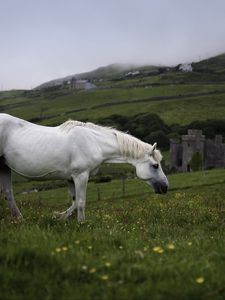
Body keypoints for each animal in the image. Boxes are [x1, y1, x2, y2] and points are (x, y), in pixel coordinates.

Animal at [0, 113, 168, 221]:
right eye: (155, 165)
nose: (165, 187)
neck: (94, 142)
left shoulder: (70, 178)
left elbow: (74, 202)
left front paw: (60, 217)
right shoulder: (80, 176)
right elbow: (81, 202)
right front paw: (81, 223)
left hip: (4, 167)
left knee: (8, 194)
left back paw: (20, 220)